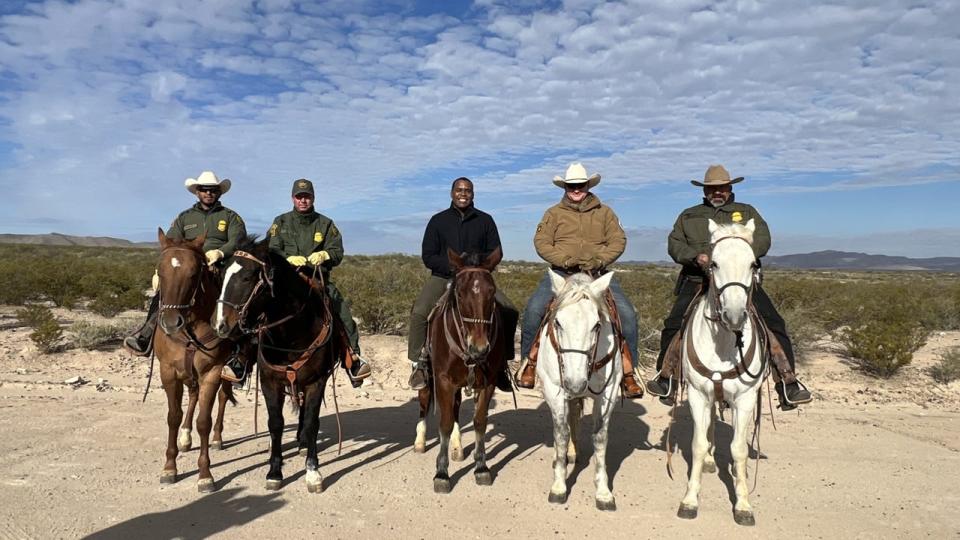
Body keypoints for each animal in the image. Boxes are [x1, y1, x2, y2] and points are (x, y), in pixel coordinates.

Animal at [154, 230, 238, 492]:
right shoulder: (168, 372)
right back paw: (185, 437)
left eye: (194, 273)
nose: (171, 322)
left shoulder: (212, 372)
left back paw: (217, 439)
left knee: (222, 398)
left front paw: (205, 474)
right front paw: (169, 467)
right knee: (192, 397)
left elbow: (204, 421)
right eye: (160, 271)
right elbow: (173, 417)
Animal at [414, 248, 506, 494]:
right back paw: (420, 441)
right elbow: (444, 424)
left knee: (455, 409)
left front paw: (481, 467)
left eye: (492, 291)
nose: (480, 348)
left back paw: (457, 447)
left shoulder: (488, 383)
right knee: (425, 400)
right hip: (429, 377)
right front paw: (441, 474)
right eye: (461, 294)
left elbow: (479, 422)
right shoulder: (443, 380)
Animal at [540, 270, 624, 510]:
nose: (575, 383)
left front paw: (603, 492)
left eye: (596, 325)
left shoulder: (608, 393)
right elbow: (561, 433)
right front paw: (559, 486)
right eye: (558, 322)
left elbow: (600, 437)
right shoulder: (555, 390)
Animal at [680, 217, 768, 524]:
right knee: (709, 430)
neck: (723, 343)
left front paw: (743, 505)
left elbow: (739, 450)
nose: (734, 316)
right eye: (713, 263)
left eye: (753, 264)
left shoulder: (745, 399)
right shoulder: (698, 395)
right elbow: (697, 444)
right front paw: (690, 500)